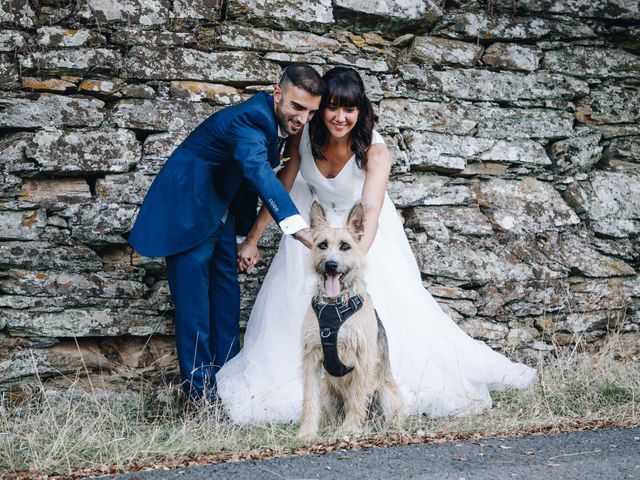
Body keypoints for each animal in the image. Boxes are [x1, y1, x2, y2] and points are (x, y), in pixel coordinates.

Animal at [298, 199, 402, 438]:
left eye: (345, 246)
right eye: (322, 245)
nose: (331, 265)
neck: (334, 306)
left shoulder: (363, 359)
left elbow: (357, 398)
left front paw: (351, 428)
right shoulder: (311, 358)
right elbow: (309, 399)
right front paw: (307, 432)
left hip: (385, 393)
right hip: (327, 391)